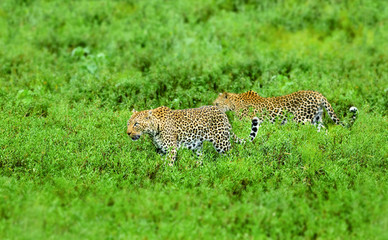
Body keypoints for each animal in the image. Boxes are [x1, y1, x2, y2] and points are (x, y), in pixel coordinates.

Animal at [212, 91, 358, 142]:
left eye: (217, 103)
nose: (213, 107)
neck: (234, 103)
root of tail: (318, 94)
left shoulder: (246, 122)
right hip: (317, 119)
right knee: (323, 130)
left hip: (300, 120)